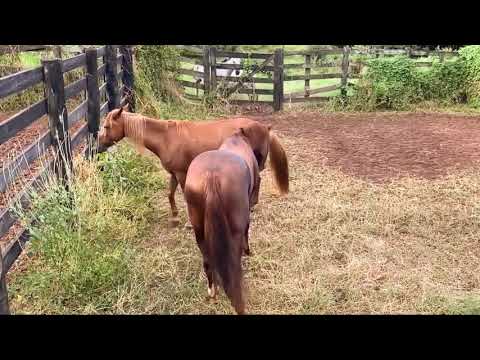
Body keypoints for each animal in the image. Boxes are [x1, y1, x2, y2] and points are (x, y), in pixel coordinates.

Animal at [96, 105, 288, 226]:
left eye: (106, 126)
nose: (97, 146)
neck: (166, 138)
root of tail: (265, 127)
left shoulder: (182, 173)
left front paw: (188, 222)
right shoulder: (174, 173)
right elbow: (170, 194)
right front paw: (174, 217)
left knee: (258, 180)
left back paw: (252, 204)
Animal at [185, 128, 258, 314]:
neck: (236, 140)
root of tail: (212, 175)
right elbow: (247, 231)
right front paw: (249, 251)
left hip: (199, 231)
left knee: (208, 262)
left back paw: (213, 291)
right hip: (235, 229)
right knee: (234, 262)